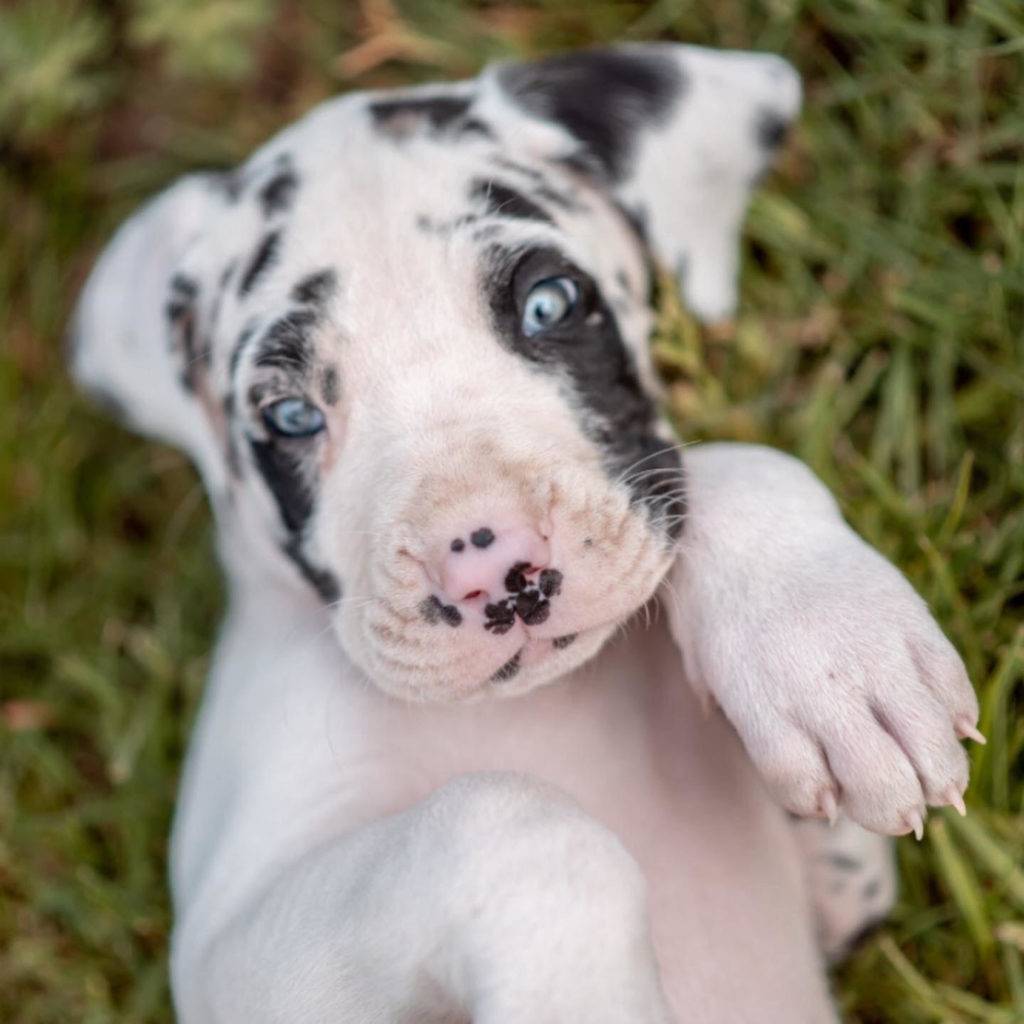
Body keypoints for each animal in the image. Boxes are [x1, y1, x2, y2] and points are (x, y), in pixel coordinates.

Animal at [68, 41, 978, 1024]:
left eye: (549, 304)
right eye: (290, 416)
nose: (495, 568)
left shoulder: (843, 891)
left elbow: (726, 466)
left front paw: (832, 651)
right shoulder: (238, 948)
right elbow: (506, 822)